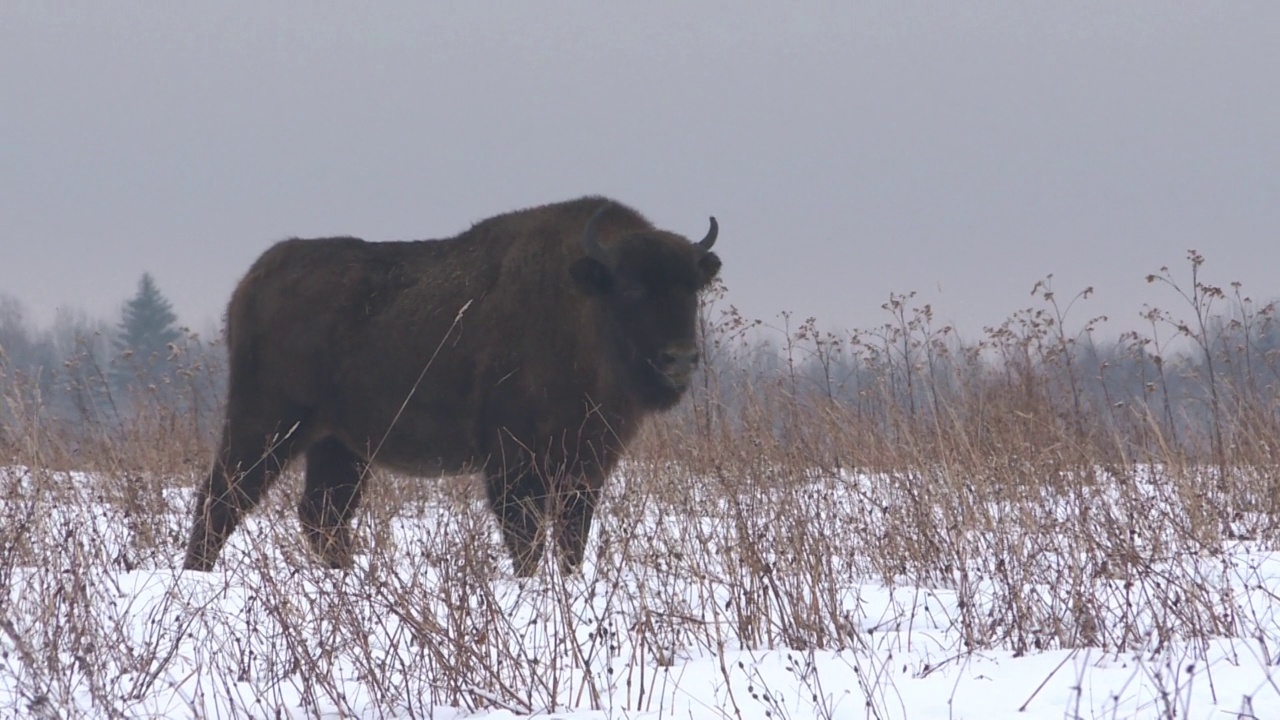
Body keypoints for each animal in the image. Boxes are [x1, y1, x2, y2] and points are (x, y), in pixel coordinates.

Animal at [183, 194, 721, 571]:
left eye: (691, 288)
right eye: (631, 287)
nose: (680, 357)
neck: (583, 304)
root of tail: (253, 281)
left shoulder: (584, 468)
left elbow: (571, 541)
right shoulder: (514, 466)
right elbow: (526, 540)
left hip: (339, 446)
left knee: (322, 516)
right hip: (266, 425)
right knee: (220, 500)